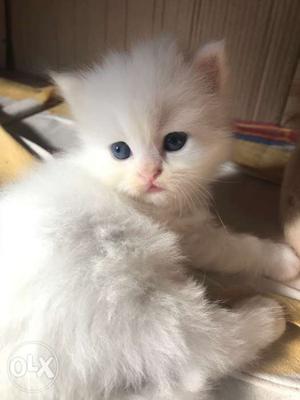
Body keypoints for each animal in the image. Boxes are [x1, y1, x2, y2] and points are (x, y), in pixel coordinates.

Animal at [0, 38, 296, 400]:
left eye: (175, 142)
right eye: (120, 151)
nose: (149, 173)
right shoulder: (192, 237)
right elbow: (237, 248)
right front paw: (285, 259)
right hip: (132, 301)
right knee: (205, 350)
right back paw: (268, 315)